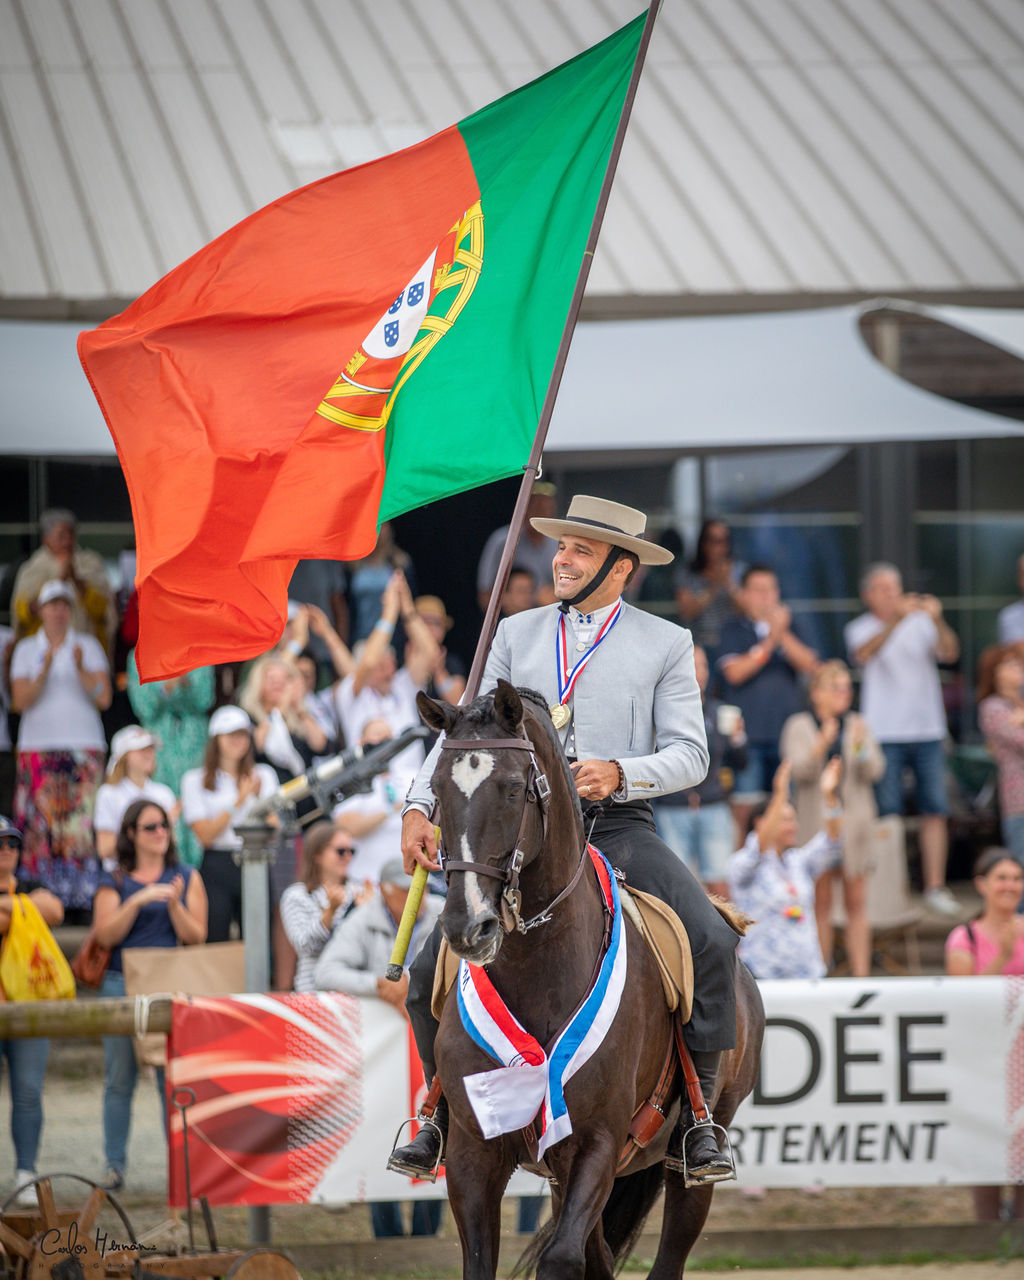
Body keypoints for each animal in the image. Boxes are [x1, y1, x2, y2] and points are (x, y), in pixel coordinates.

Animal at [419, 680, 762, 1280]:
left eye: (513, 789)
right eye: (436, 788)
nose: (467, 925)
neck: (537, 972)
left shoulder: (597, 1145)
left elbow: (561, 1259)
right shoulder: (472, 1153)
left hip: (693, 1150)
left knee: (673, 1237)